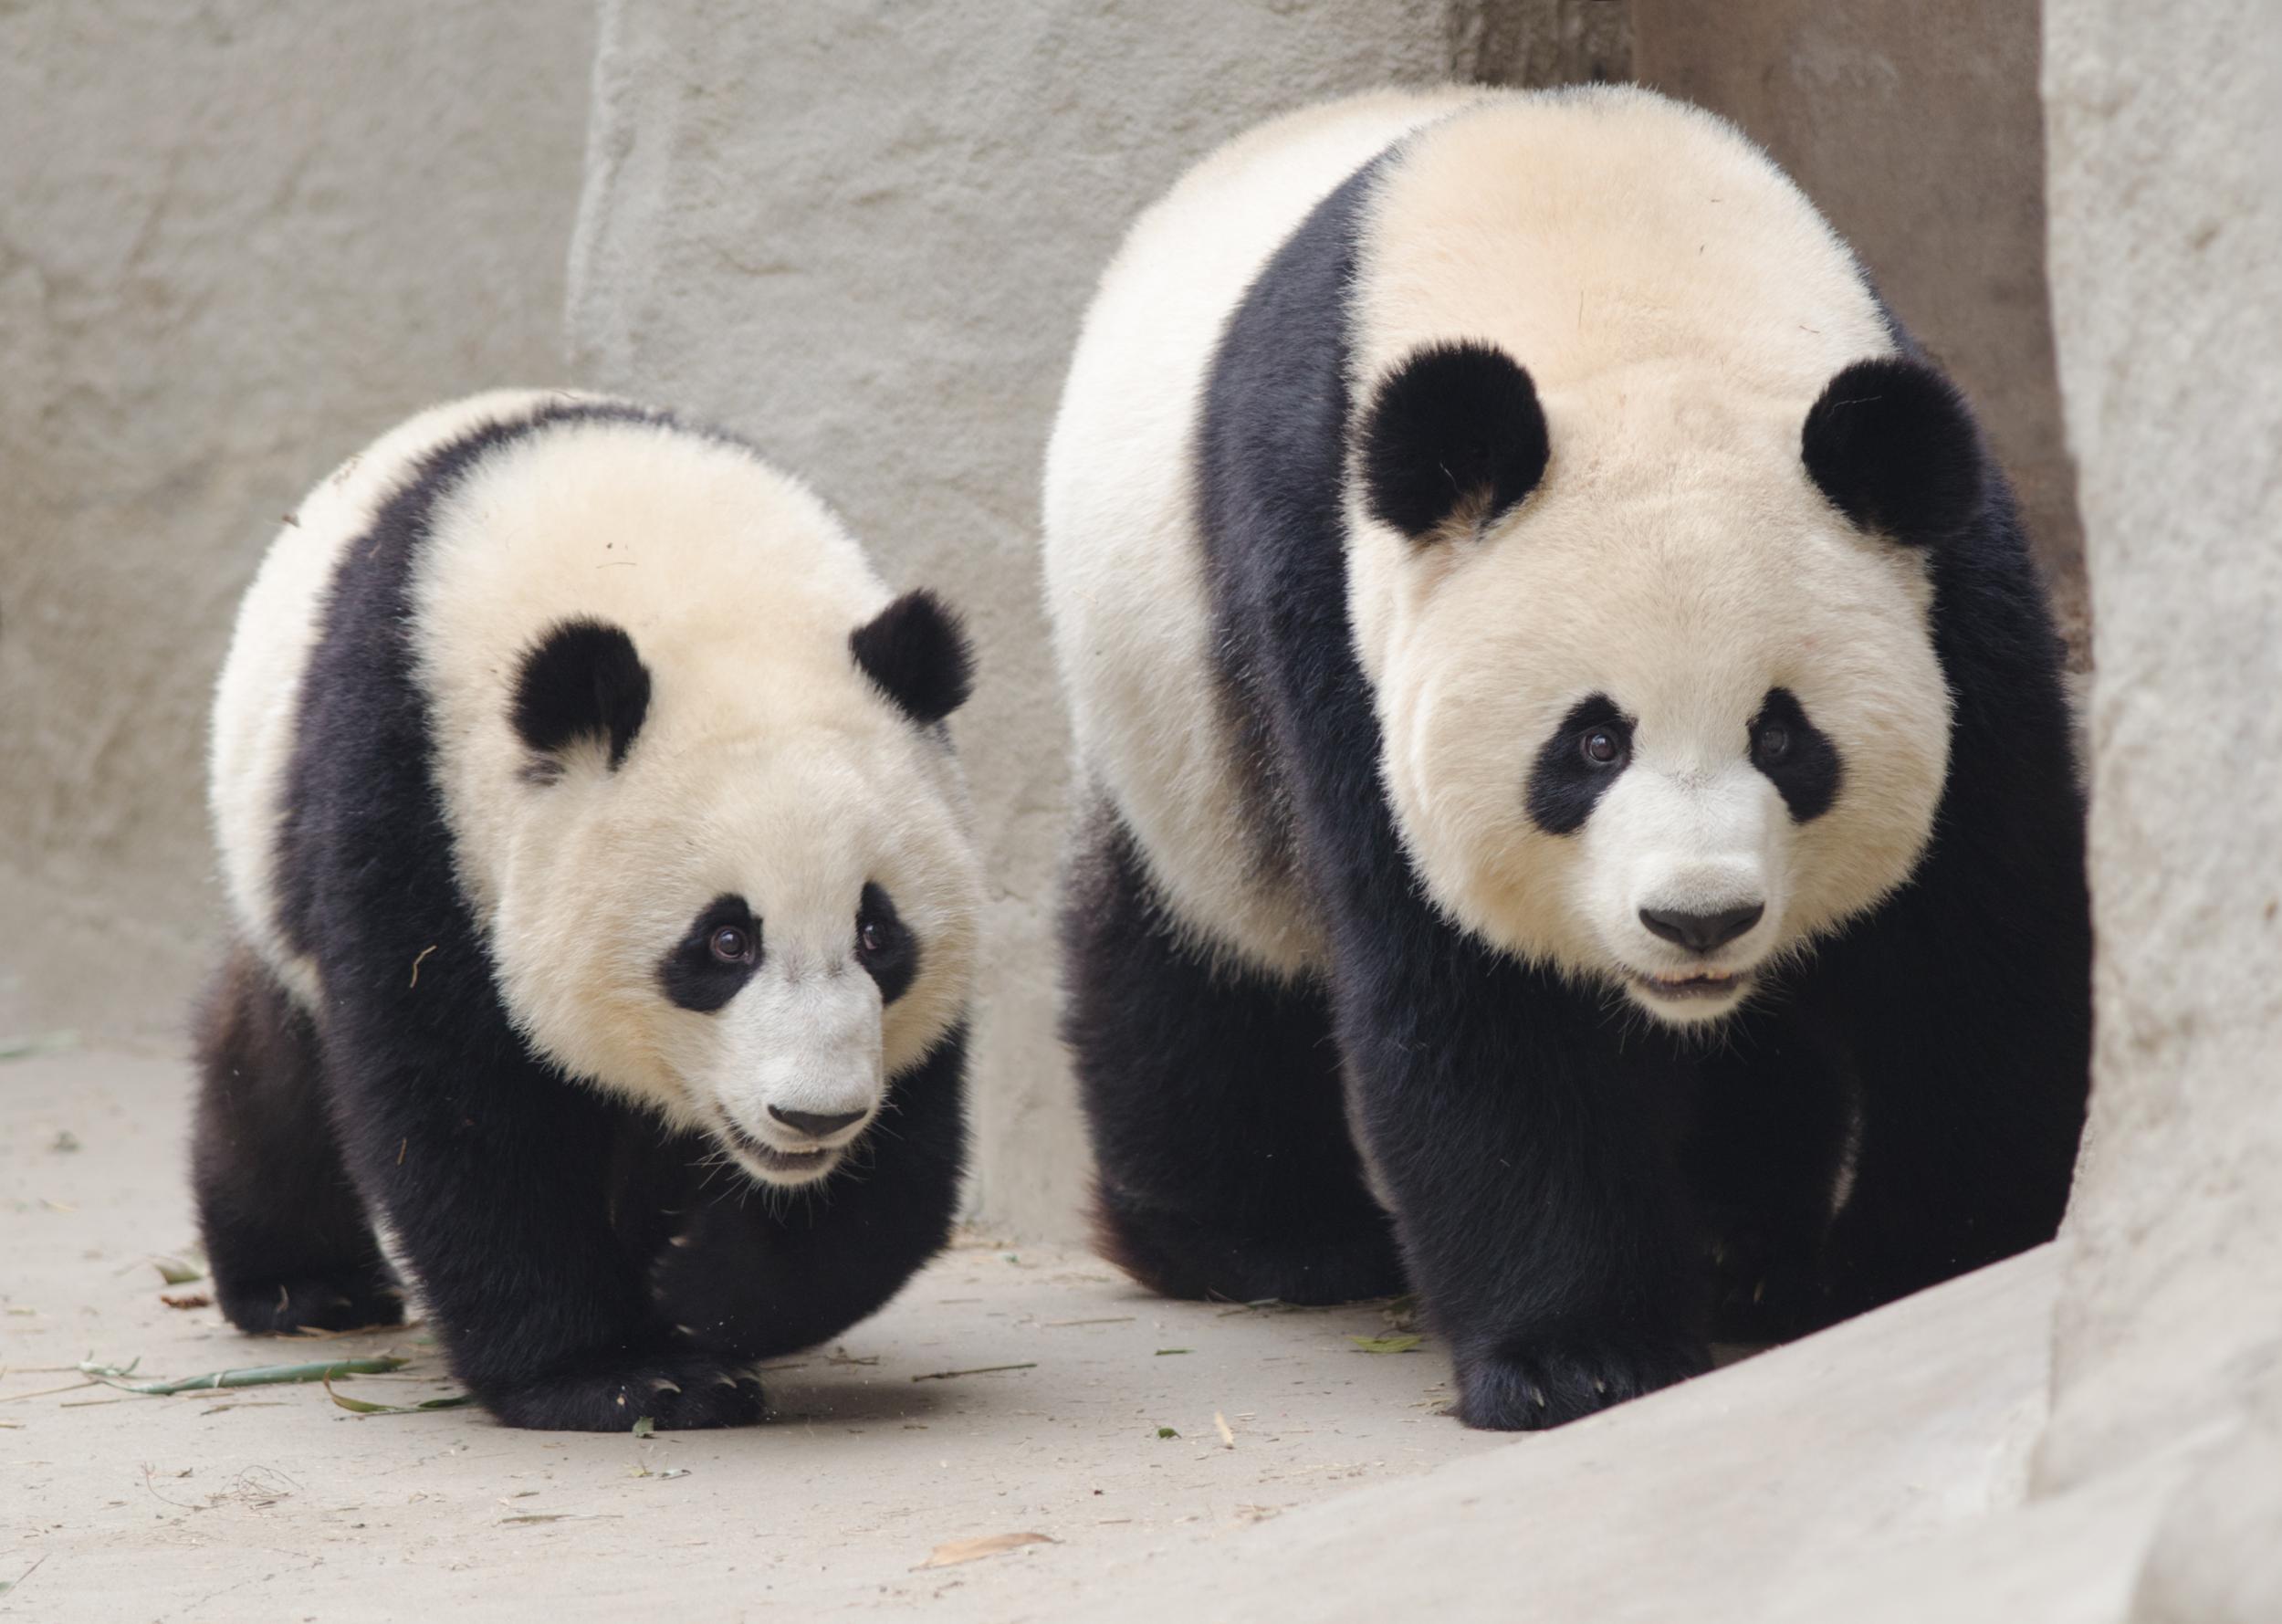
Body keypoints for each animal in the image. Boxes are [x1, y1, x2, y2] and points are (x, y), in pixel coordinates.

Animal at [198, 392, 981, 1432]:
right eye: (724, 941)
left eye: (876, 933)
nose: (812, 1116)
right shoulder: (413, 792)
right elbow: (459, 1110)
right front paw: (627, 1373)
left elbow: (901, 1155)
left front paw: (707, 1295)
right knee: (277, 1066)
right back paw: (304, 1287)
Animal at [1045, 85, 2090, 1432]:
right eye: (1591, 743)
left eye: (1784, 736)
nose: (1698, 920)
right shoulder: (1330, 603)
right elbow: (1476, 991)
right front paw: (1576, 1359)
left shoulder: (1948, 581)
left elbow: (1974, 938)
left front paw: (1921, 1267)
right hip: (1169, 714)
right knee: (1196, 958)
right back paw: (1261, 1237)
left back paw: (1744, 1242)